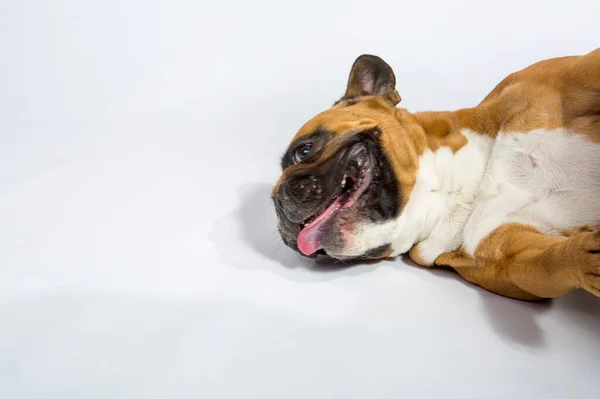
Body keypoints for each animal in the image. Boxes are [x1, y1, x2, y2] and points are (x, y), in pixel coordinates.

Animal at [274, 48, 600, 302]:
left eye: (303, 150)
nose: (277, 199)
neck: (453, 189)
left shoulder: (570, 78)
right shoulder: (507, 252)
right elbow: (545, 263)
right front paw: (579, 256)